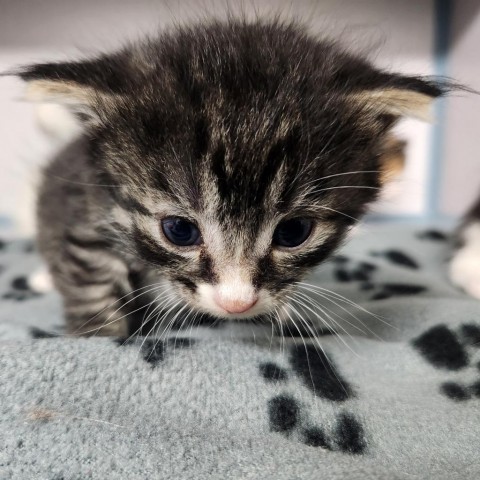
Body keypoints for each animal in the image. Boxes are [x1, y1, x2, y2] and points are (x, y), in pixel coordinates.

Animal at [17, 20, 446, 336]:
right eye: (179, 230)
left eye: (294, 232)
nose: (236, 304)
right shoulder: (82, 203)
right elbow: (90, 274)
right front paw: (100, 336)